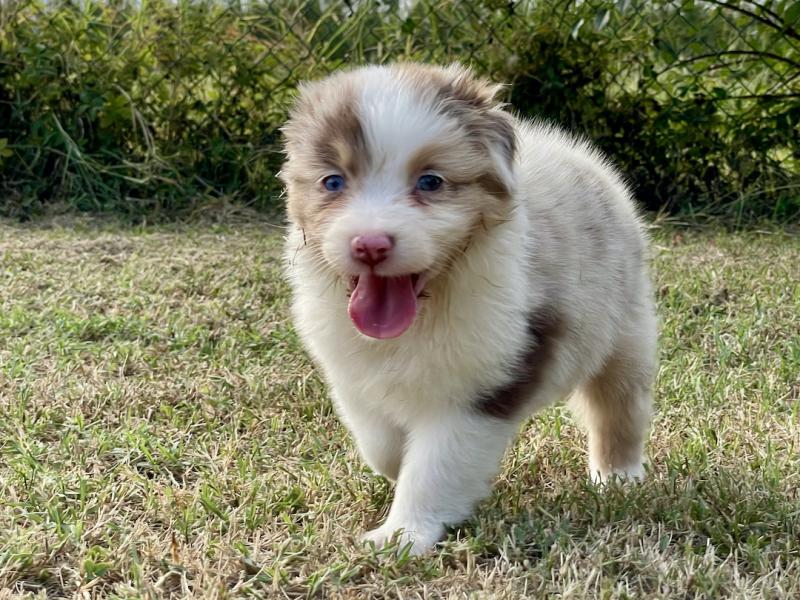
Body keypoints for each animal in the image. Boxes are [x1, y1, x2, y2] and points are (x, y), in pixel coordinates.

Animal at [282, 63, 656, 556]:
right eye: (333, 182)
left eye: (430, 182)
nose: (370, 245)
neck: (423, 313)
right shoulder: (350, 370)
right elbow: (380, 442)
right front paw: (395, 470)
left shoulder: (483, 384)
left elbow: (435, 465)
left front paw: (402, 536)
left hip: (625, 331)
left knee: (618, 405)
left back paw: (618, 476)